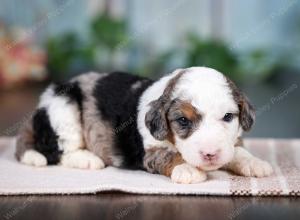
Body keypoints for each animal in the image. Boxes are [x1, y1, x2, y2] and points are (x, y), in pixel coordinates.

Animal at [16, 67, 274, 184]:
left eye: (228, 117)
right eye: (183, 121)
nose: (210, 154)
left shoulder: (232, 141)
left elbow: (237, 151)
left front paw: (256, 163)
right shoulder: (150, 151)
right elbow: (168, 156)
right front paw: (187, 169)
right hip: (63, 109)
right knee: (58, 151)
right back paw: (87, 159)